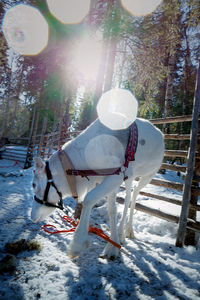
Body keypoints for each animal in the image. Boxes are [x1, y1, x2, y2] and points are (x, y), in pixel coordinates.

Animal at [30, 118, 163, 258]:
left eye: (34, 184)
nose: (32, 216)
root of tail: (159, 133)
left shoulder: (117, 175)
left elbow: (89, 199)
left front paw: (77, 243)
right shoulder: (111, 178)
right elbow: (112, 209)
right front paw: (113, 245)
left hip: (149, 174)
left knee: (135, 192)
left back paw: (128, 230)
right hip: (129, 177)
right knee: (128, 196)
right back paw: (122, 233)